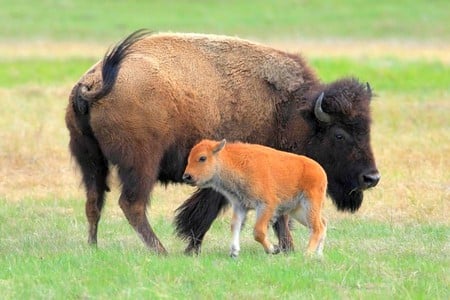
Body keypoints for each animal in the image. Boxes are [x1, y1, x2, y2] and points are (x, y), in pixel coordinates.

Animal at [183, 139, 326, 258]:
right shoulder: (240, 206)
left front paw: (273, 249)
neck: (235, 162)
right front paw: (234, 252)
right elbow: (235, 225)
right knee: (322, 224)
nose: (187, 176)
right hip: (298, 211)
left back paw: (307, 254)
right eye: (189, 157)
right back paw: (319, 254)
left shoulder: (266, 206)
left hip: (310, 205)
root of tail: (320, 170)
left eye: (202, 158)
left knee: (317, 227)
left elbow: (258, 231)